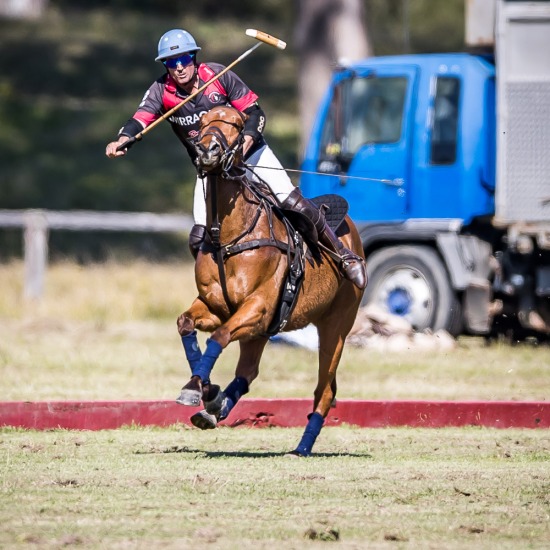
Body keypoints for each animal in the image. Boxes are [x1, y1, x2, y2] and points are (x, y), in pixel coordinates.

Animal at [177, 104, 366, 458]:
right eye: (202, 123)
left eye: (238, 124)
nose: (208, 151)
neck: (228, 236)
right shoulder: (217, 307)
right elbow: (186, 323)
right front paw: (199, 387)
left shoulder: (259, 307)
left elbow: (219, 337)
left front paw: (203, 390)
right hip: (265, 331)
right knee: (248, 372)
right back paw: (218, 406)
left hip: (335, 326)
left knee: (325, 390)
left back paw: (302, 448)